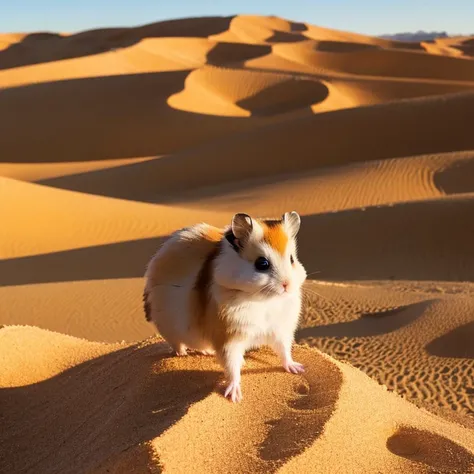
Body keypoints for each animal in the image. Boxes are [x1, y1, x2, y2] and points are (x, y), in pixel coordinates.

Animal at [143, 213, 308, 402]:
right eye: (262, 263)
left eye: (292, 259)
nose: (287, 285)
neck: (263, 300)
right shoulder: (228, 338)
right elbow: (231, 366)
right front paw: (234, 396)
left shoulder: (281, 331)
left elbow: (285, 352)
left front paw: (297, 368)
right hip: (170, 329)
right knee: (177, 345)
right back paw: (183, 354)